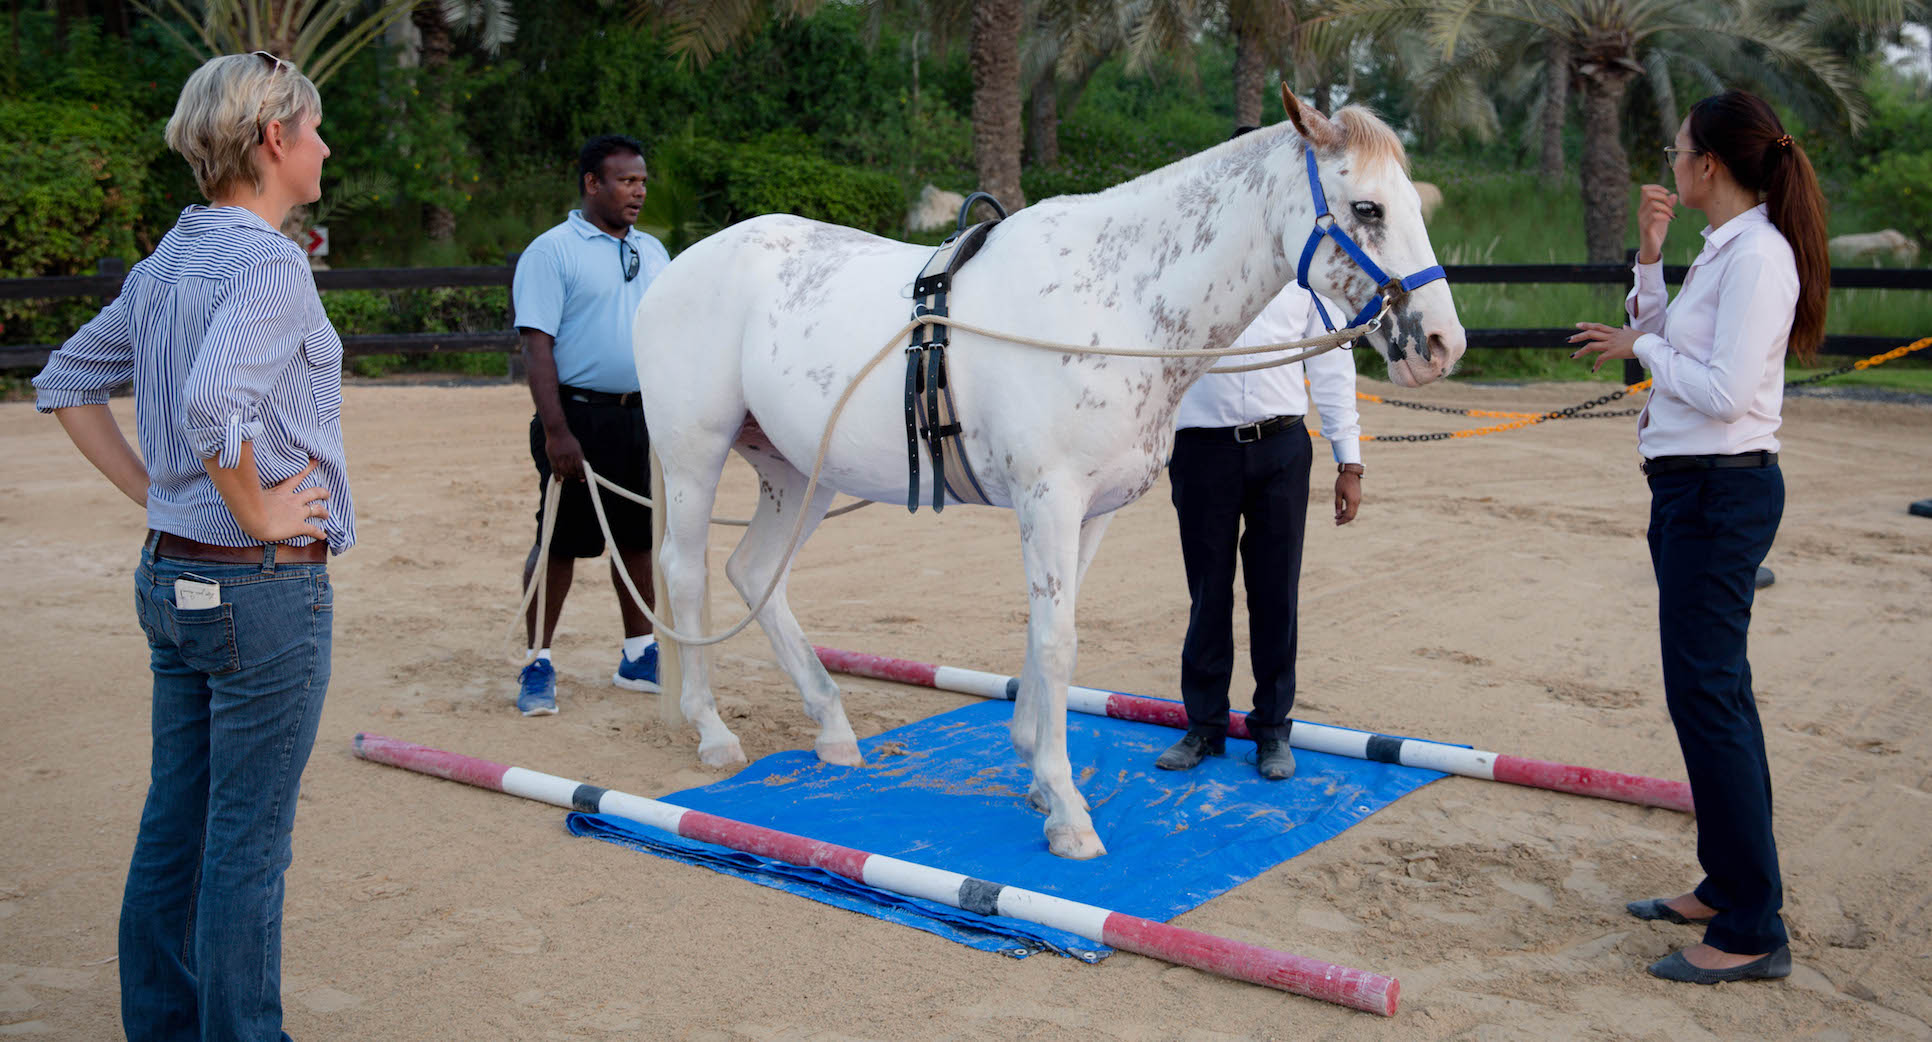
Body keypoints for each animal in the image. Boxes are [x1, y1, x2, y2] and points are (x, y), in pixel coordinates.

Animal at [633, 87, 1460, 854]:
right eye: (1367, 207)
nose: (1442, 344)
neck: (1118, 302)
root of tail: (677, 270)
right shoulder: (1049, 500)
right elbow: (1059, 642)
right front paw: (1067, 812)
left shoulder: (1091, 512)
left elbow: (1042, 632)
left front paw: (1034, 770)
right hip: (694, 457)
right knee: (685, 572)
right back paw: (712, 731)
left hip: (798, 474)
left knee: (753, 573)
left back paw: (834, 730)